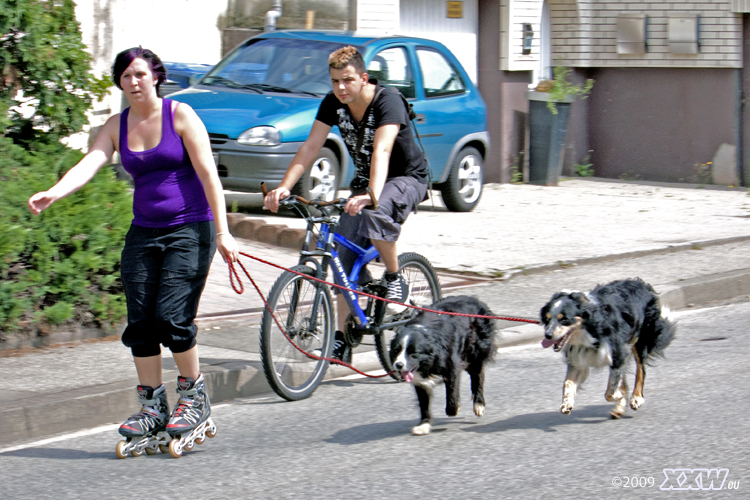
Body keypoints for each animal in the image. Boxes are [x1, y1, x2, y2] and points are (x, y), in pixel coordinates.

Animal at [388, 294, 500, 436]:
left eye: (414, 353)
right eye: (396, 350)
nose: (399, 365)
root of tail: (475, 299)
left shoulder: (450, 362)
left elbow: (452, 388)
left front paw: (454, 409)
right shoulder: (419, 377)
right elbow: (423, 400)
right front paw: (423, 425)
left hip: (476, 349)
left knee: (478, 375)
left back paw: (479, 405)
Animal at [540, 278, 676, 418]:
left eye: (565, 319)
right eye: (547, 319)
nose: (548, 335)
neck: (589, 329)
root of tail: (642, 284)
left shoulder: (618, 354)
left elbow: (610, 392)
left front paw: (620, 396)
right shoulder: (577, 359)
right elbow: (568, 383)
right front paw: (566, 404)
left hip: (641, 339)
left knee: (641, 370)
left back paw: (636, 398)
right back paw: (619, 408)